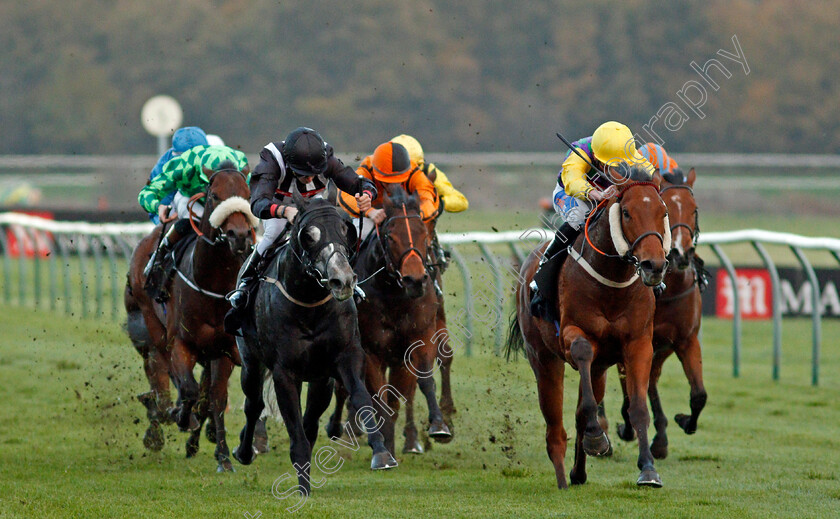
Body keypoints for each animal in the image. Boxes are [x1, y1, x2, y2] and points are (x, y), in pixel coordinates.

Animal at [124, 162, 256, 472]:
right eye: (215, 196)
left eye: (247, 195)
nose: (240, 235)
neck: (211, 284)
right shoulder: (181, 344)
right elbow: (189, 388)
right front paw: (182, 415)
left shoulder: (223, 349)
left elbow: (215, 398)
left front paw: (223, 457)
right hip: (151, 320)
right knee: (163, 368)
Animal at [508, 168, 672, 492]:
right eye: (626, 212)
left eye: (663, 212)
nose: (654, 265)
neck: (612, 283)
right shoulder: (572, 334)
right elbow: (582, 355)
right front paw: (597, 436)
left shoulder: (638, 343)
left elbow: (637, 407)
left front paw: (648, 469)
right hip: (543, 358)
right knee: (554, 425)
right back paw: (563, 476)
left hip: (599, 369)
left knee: (580, 410)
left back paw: (578, 473)